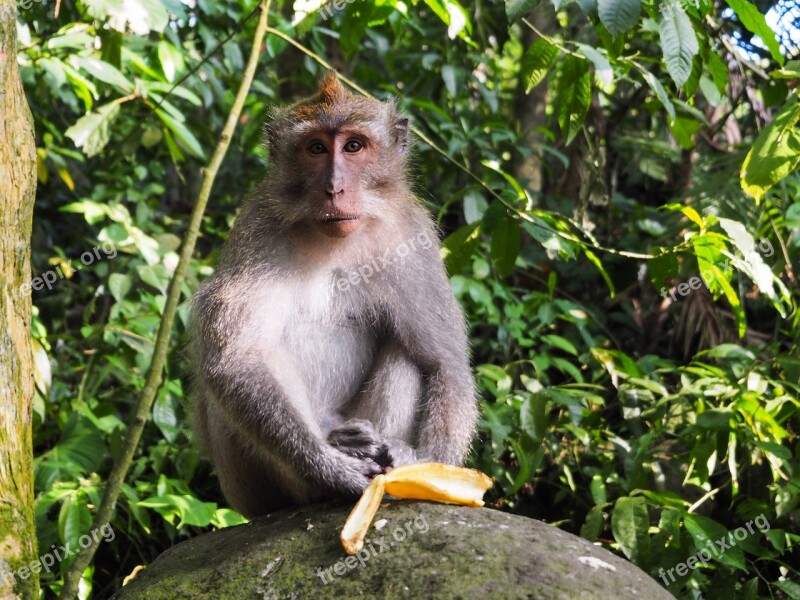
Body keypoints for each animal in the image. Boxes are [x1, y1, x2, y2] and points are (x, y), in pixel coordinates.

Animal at [189, 72, 476, 516]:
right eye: (316, 148)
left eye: (354, 146)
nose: (334, 188)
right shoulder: (256, 228)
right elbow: (235, 360)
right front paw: (328, 467)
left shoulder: (412, 236)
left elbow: (442, 361)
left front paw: (424, 465)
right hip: (250, 491)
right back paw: (333, 459)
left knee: (408, 354)